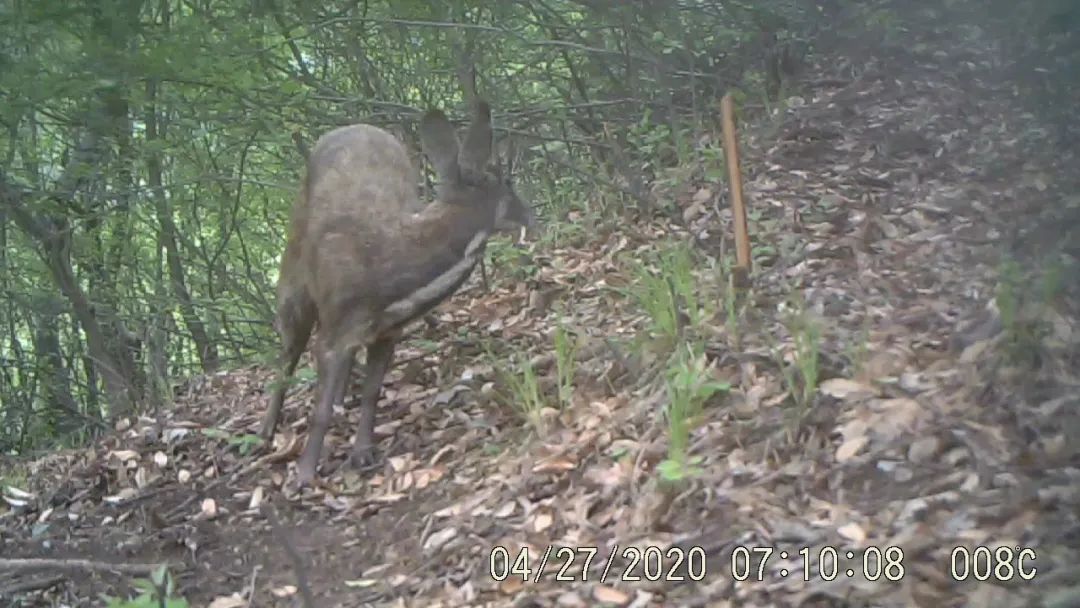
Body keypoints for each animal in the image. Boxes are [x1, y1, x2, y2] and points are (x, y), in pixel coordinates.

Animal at [260, 101, 532, 486]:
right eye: (507, 186)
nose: (531, 216)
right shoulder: (336, 322)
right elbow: (319, 407)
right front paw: (304, 474)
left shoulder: (388, 330)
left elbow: (372, 393)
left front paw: (362, 453)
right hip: (294, 276)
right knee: (288, 349)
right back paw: (266, 430)